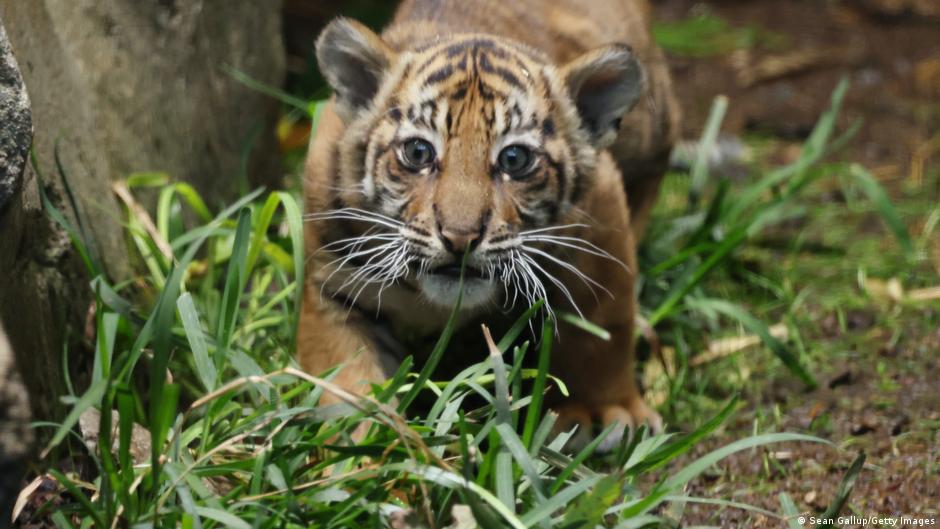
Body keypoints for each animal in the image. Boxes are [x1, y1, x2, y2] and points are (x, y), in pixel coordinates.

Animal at [298, 0, 680, 448]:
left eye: (514, 159)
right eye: (418, 152)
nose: (459, 237)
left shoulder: (601, 219)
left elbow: (601, 327)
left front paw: (605, 411)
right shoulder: (333, 285)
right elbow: (349, 379)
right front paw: (366, 449)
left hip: (651, 129)